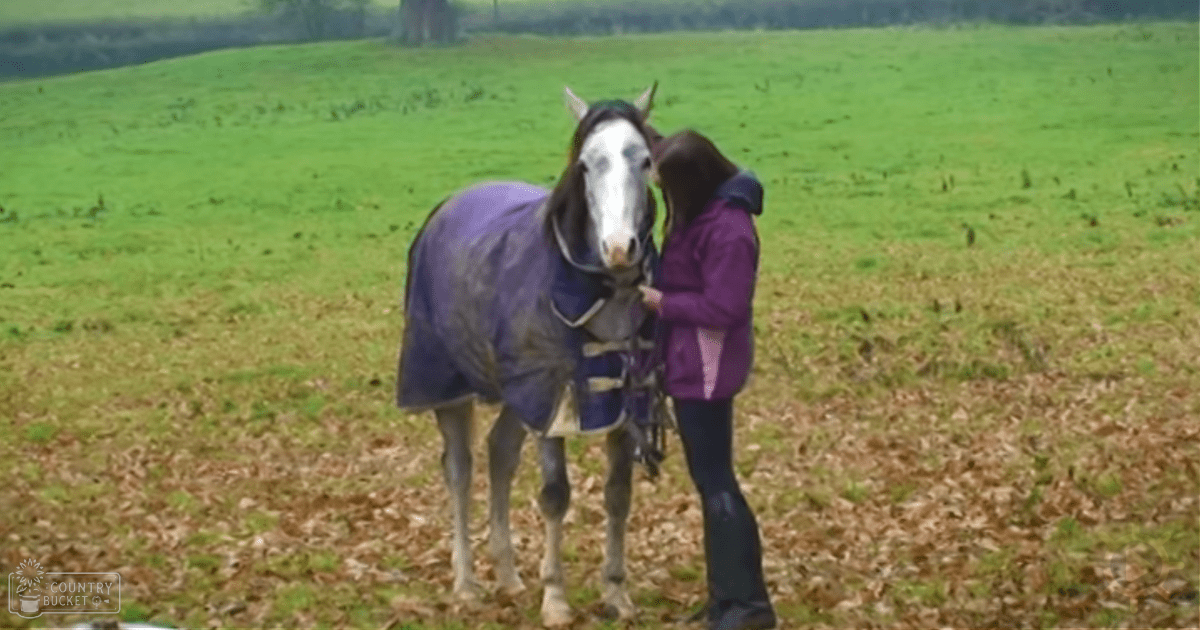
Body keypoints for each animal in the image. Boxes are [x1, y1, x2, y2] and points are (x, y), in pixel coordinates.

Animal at [396, 84, 669, 626]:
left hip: (516, 397)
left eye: (645, 159)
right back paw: (467, 583)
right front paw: (557, 599)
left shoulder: (618, 404)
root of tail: (449, 206)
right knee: (460, 470)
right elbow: (555, 496)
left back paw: (508, 575)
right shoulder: (553, 400)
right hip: (452, 390)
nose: (619, 249)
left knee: (500, 454)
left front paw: (616, 593)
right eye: (585, 163)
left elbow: (617, 495)